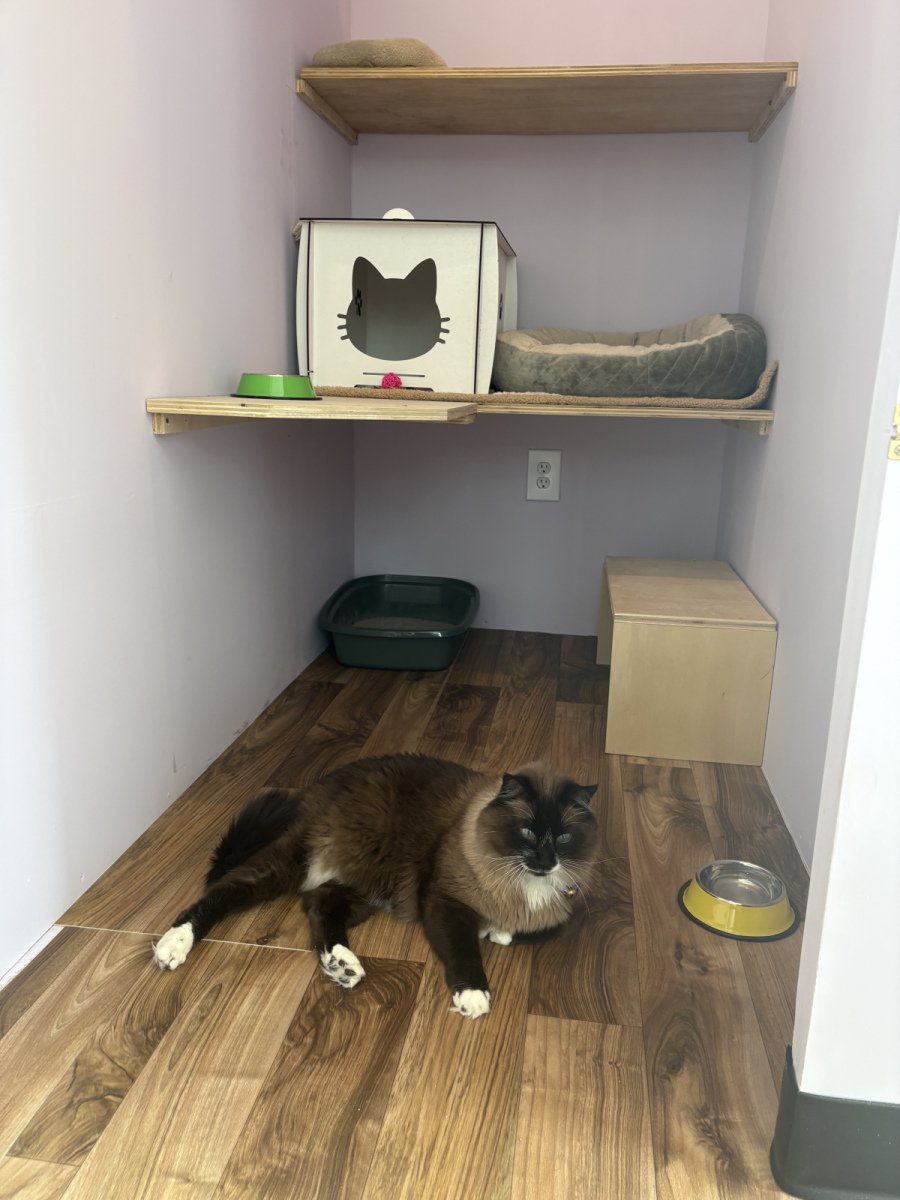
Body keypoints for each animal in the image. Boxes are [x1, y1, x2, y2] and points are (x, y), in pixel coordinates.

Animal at [153, 754, 598, 1019]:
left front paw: (499, 932)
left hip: (365, 891)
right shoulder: (445, 901)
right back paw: (172, 947)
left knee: (318, 905)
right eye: (527, 832)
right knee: (221, 893)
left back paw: (342, 964)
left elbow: (531, 930)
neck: (521, 881)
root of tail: (318, 787)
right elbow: (465, 951)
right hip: (291, 866)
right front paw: (474, 994)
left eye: (562, 838)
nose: (546, 861)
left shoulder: (561, 907)